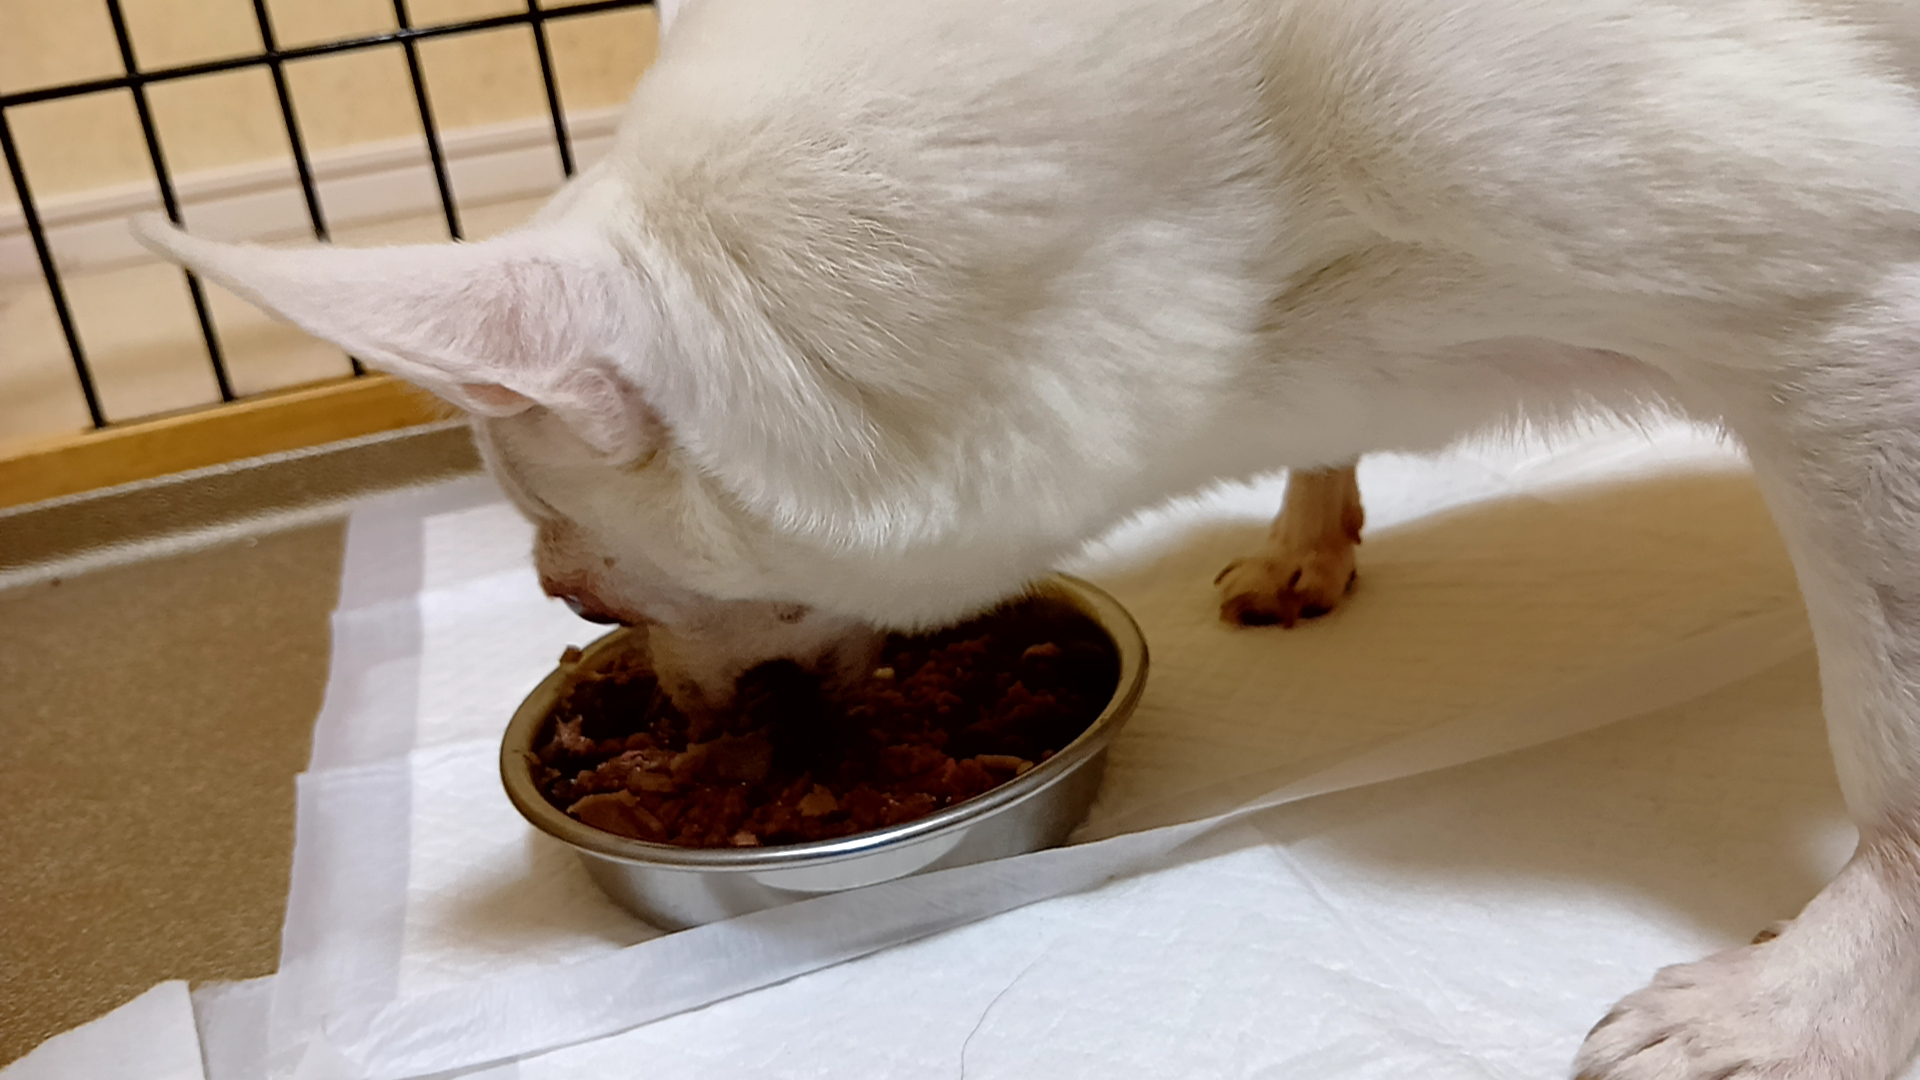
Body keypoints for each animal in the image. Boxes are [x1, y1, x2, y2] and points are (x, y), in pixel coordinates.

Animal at [135, 0, 1920, 1075]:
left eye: (573, 586)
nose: (674, 708)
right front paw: (1306, 531)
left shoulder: (1865, 332)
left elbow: (1889, 748)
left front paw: (1803, 999)